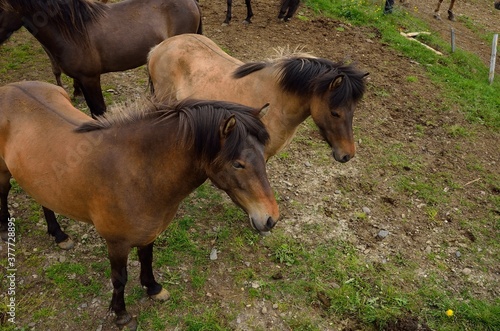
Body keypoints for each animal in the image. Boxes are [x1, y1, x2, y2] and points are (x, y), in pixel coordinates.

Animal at [0, 0, 203, 118]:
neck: (74, 33)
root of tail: (192, 3)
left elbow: (99, 112)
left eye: (1, 8)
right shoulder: (81, 79)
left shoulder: (90, 79)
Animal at [0, 81, 278, 331]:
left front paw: (153, 288)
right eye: (238, 163)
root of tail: (9, 88)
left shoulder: (149, 231)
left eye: (264, 156)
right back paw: (6, 229)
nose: (271, 218)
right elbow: (119, 279)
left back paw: (58, 234)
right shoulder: (116, 243)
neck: (136, 171)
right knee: (4, 192)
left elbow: (147, 259)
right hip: (4, 173)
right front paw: (121, 315)